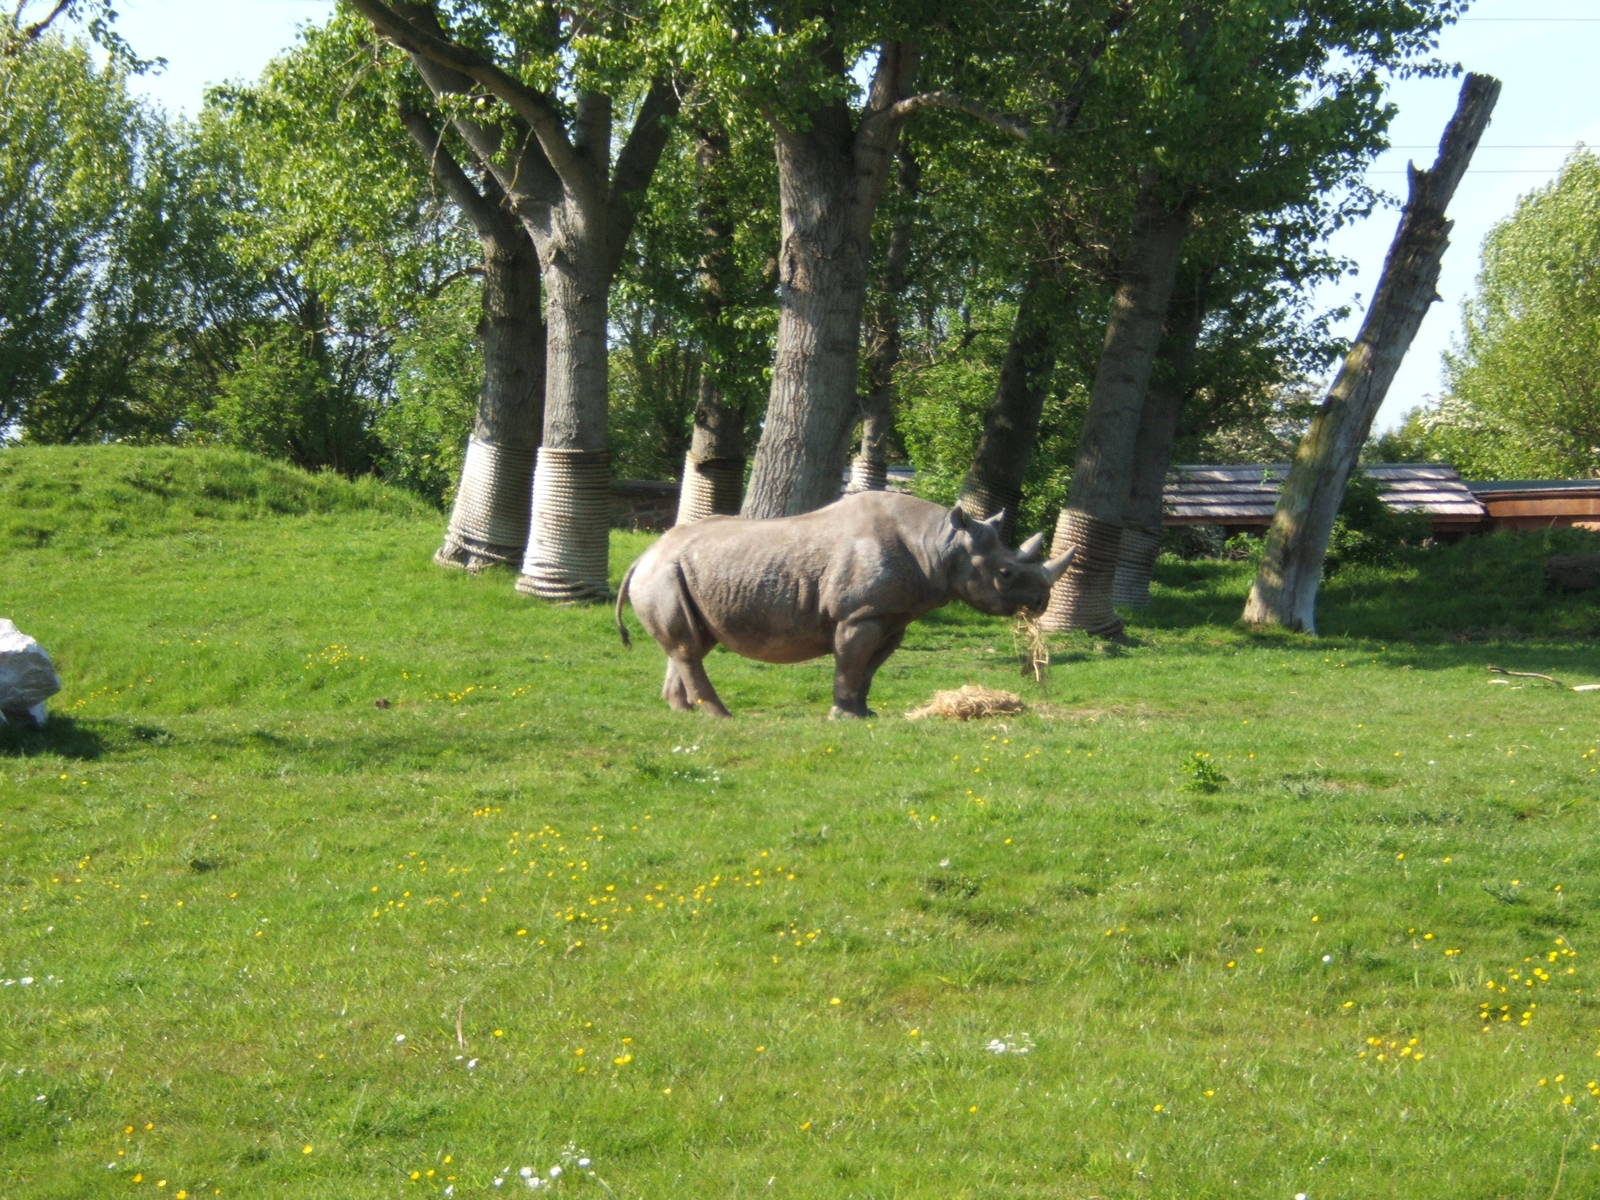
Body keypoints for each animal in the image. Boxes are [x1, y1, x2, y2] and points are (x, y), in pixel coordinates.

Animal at [614, 491, 1075, 718]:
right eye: (1006, 574)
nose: (1041, 602)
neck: (939, 543)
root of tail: (643, 556)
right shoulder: (859, 614)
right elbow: (850, 663)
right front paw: (844, 717)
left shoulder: (891, 616)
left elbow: (867, 669)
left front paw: (863, 714)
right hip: (663, 573)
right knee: (690, 646)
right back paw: (720, 717)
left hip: (676, 573)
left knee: (689, 644)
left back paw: (683, 714)